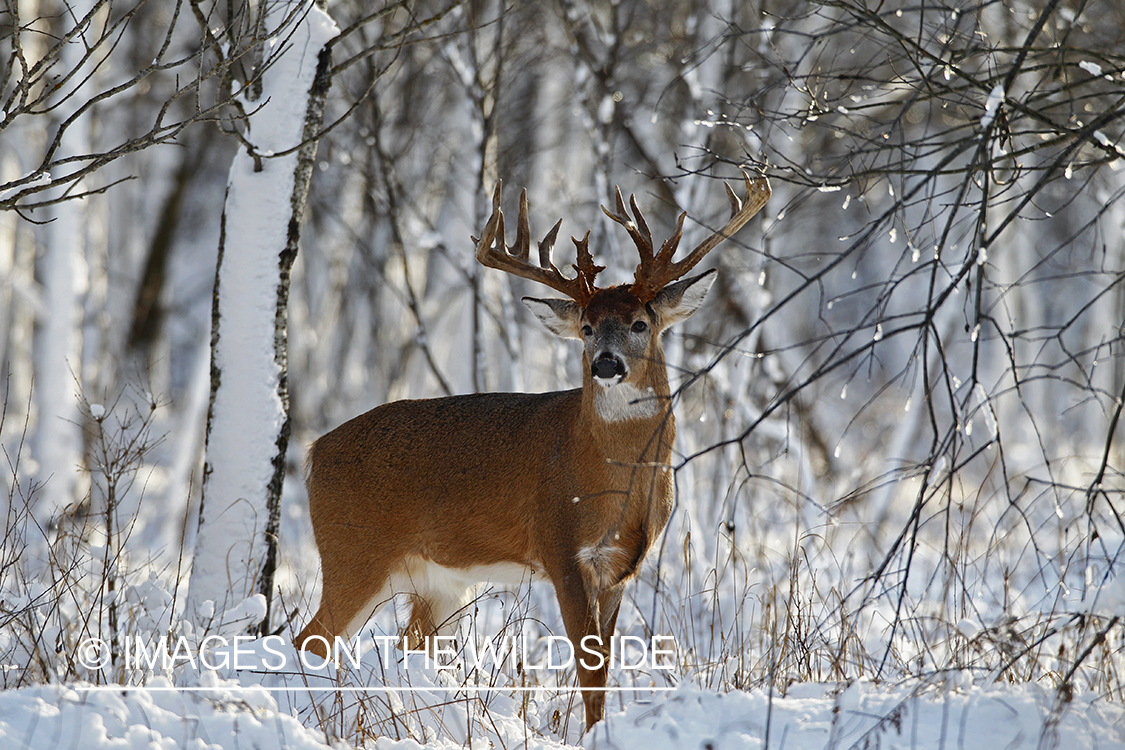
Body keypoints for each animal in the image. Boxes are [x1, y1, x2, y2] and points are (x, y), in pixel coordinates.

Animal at [294, 168, 769, 728]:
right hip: (353, 552)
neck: (615, 479)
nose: (605, 363)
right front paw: (593, 734)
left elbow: (604, 664)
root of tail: (313, 453)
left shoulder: (621, 567)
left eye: (640, 323)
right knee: (309, 640)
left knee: (403, 645)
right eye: (586, 328)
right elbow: (590, 672)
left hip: (436, 581)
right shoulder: (560, 546)